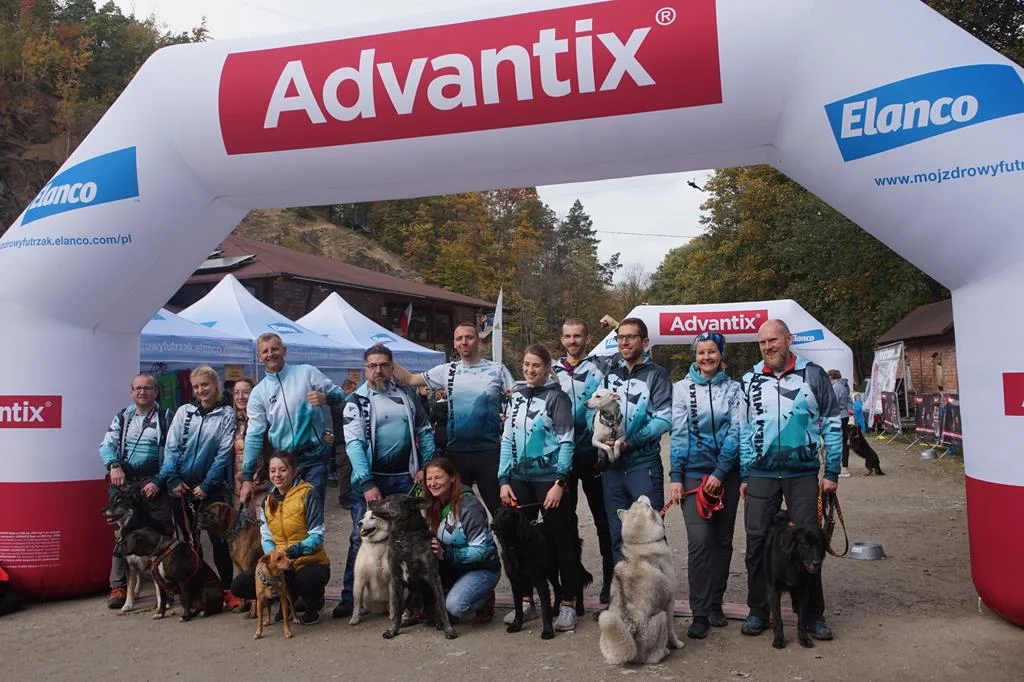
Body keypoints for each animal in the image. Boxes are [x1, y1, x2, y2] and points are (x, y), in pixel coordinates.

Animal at [370, 493, 458, 638]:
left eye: (388, 499)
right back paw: (408, 620)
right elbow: (397, 609)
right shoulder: (396, 579)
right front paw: (393, 630)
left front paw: (449, 629)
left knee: (437, 610)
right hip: (409, 597)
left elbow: (441, 605)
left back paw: (439, 623)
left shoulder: (433, 577)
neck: (404, 537)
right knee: (411, 612)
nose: (370, 501)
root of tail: (423, 616)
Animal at [598, 493, 684, 663]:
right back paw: (665, 651)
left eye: (635, 503)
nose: (641, 495)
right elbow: (672, 629)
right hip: (661, 617)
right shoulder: (670, 601)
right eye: (644, 504)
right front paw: (676, 644)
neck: (640, 544)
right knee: (653, 656)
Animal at [765, 509, 827, 647]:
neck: (793, 563)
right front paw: (779, 639)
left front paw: (804, 638)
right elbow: (777, 617)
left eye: (819, 544)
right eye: (805, 545)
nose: (816, 563)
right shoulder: (774, 589)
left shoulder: (802, 589)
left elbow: (802, 618)